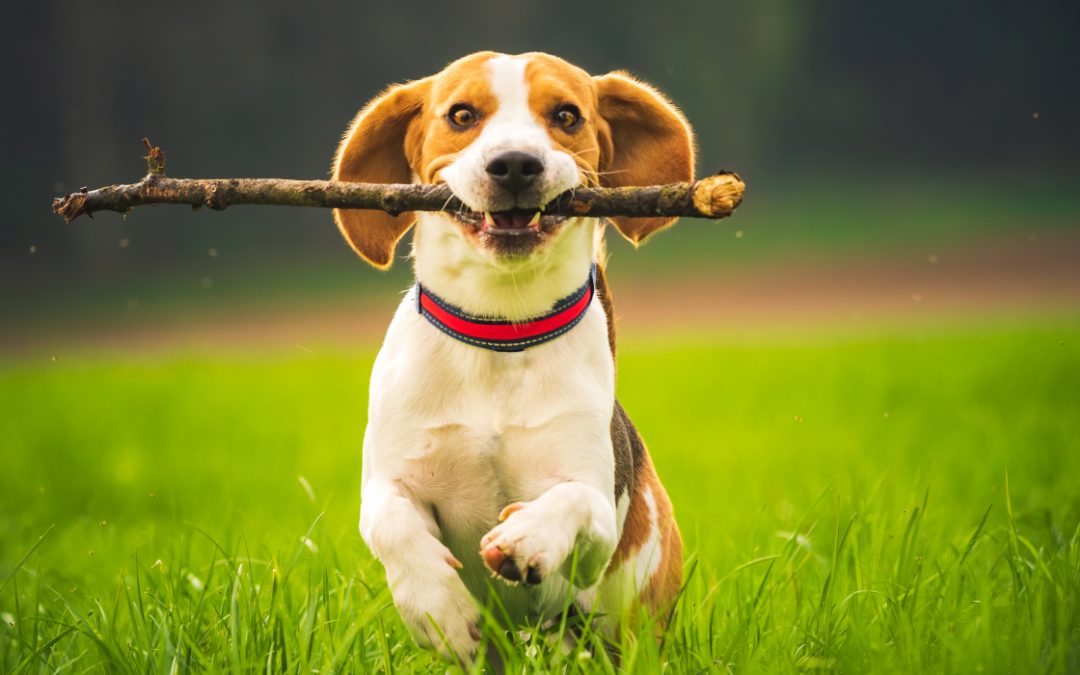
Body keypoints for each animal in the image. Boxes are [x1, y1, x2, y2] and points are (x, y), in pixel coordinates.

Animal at [328, 51, 695, 656]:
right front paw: (441, 611)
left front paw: (527, 537)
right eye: (461, 114)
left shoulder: (595, 514)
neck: (502, 329)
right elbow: (390, 523)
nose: (516, 164)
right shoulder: (389, 480)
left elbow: (573, 502)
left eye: (567, 115)